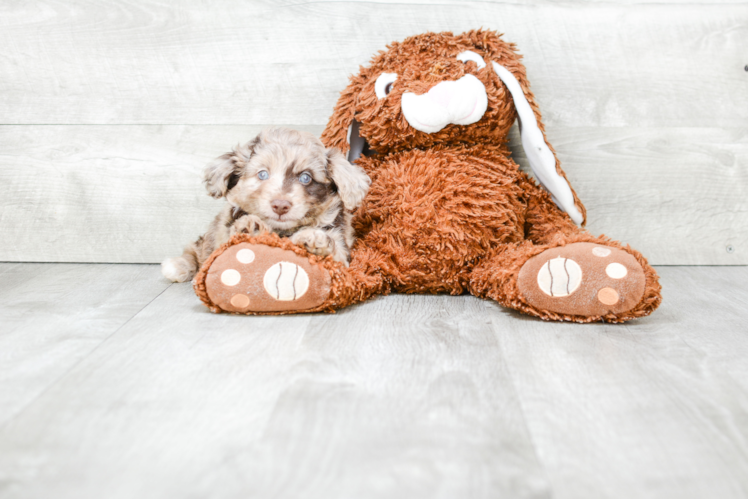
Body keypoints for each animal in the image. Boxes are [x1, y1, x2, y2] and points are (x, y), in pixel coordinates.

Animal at [161, 127, 372, 284]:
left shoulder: (341, 251)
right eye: (262, 174)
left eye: (306, 178)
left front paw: (314, 239)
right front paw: (250, 227)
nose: (280, 205)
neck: (282, 231)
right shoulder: (223, 239)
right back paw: (178, 266)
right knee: (196, 249)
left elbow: (334, 251)